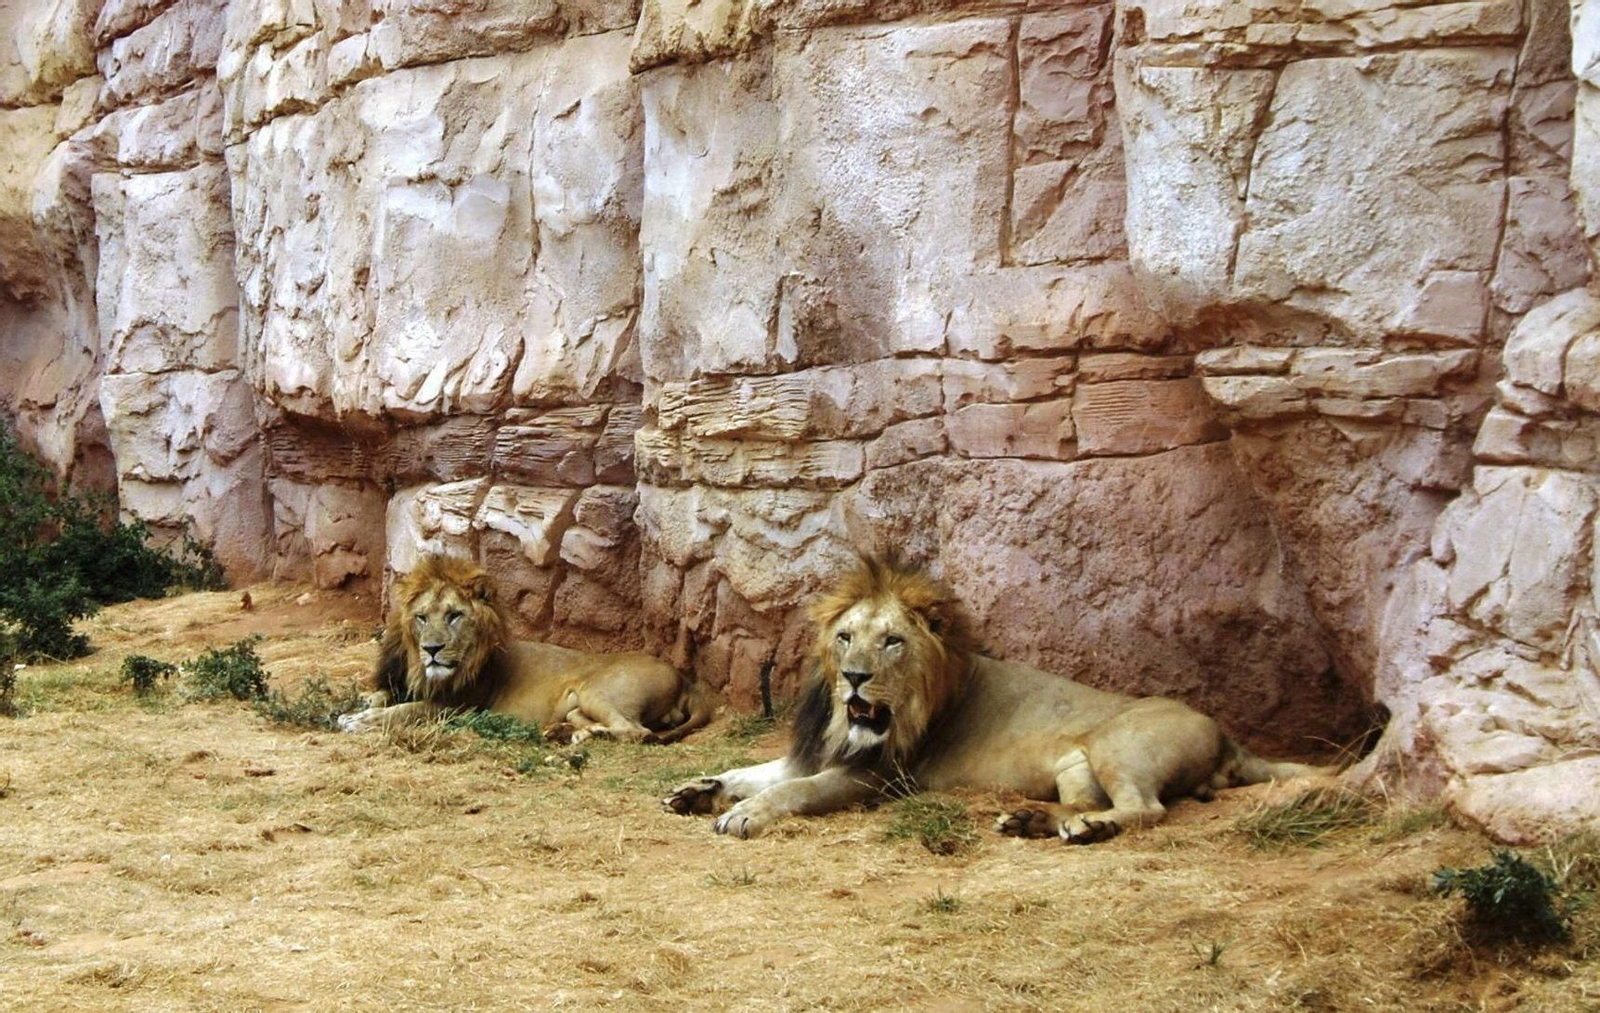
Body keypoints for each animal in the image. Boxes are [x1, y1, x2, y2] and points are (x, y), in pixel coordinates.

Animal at [336, 554, 713, 744]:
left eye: (455, 615)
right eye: (421, 617)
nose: (432, 648)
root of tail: (685, 680)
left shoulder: (460, 706)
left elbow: (407, 712)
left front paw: (360, 720)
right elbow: (384, 697)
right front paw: (361, 705)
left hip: (597, 692)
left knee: (636, 732)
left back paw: (579, 736)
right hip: (578, 706)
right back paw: (564, 732)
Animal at [663, 555, 1329, 842]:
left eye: (893, 641)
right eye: (846, 636)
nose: (853, 677)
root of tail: (1229, 737)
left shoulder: (879, 776)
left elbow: (792, 791)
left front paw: (744, 814)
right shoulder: (820, 751)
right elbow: (751, 770)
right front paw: (698, 789)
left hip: (1119, 744)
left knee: (1146, 808)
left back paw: (1087, 830)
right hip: (1075, 768)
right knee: (1088, 802)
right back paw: (1034, 820)